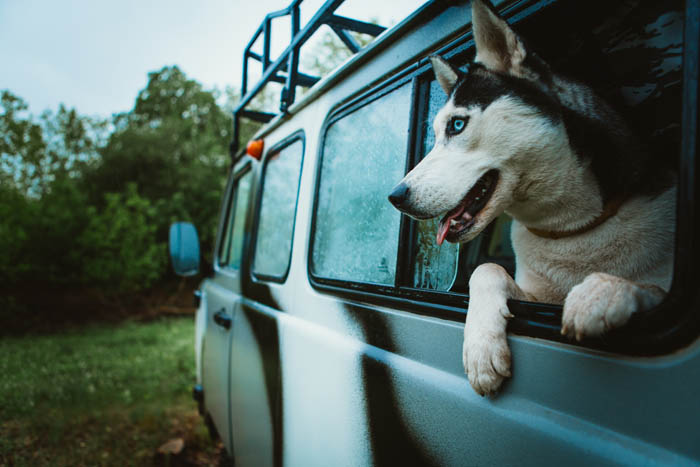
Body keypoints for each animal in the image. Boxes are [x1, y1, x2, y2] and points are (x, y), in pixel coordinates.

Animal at [392, 0, 676, 396]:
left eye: (457, 125)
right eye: (434, 133)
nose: (395, 196)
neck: (572, 229)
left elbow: (652, 287)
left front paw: (604, 291)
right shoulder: (535, 296)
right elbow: (487, 269)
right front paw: (481, 349)